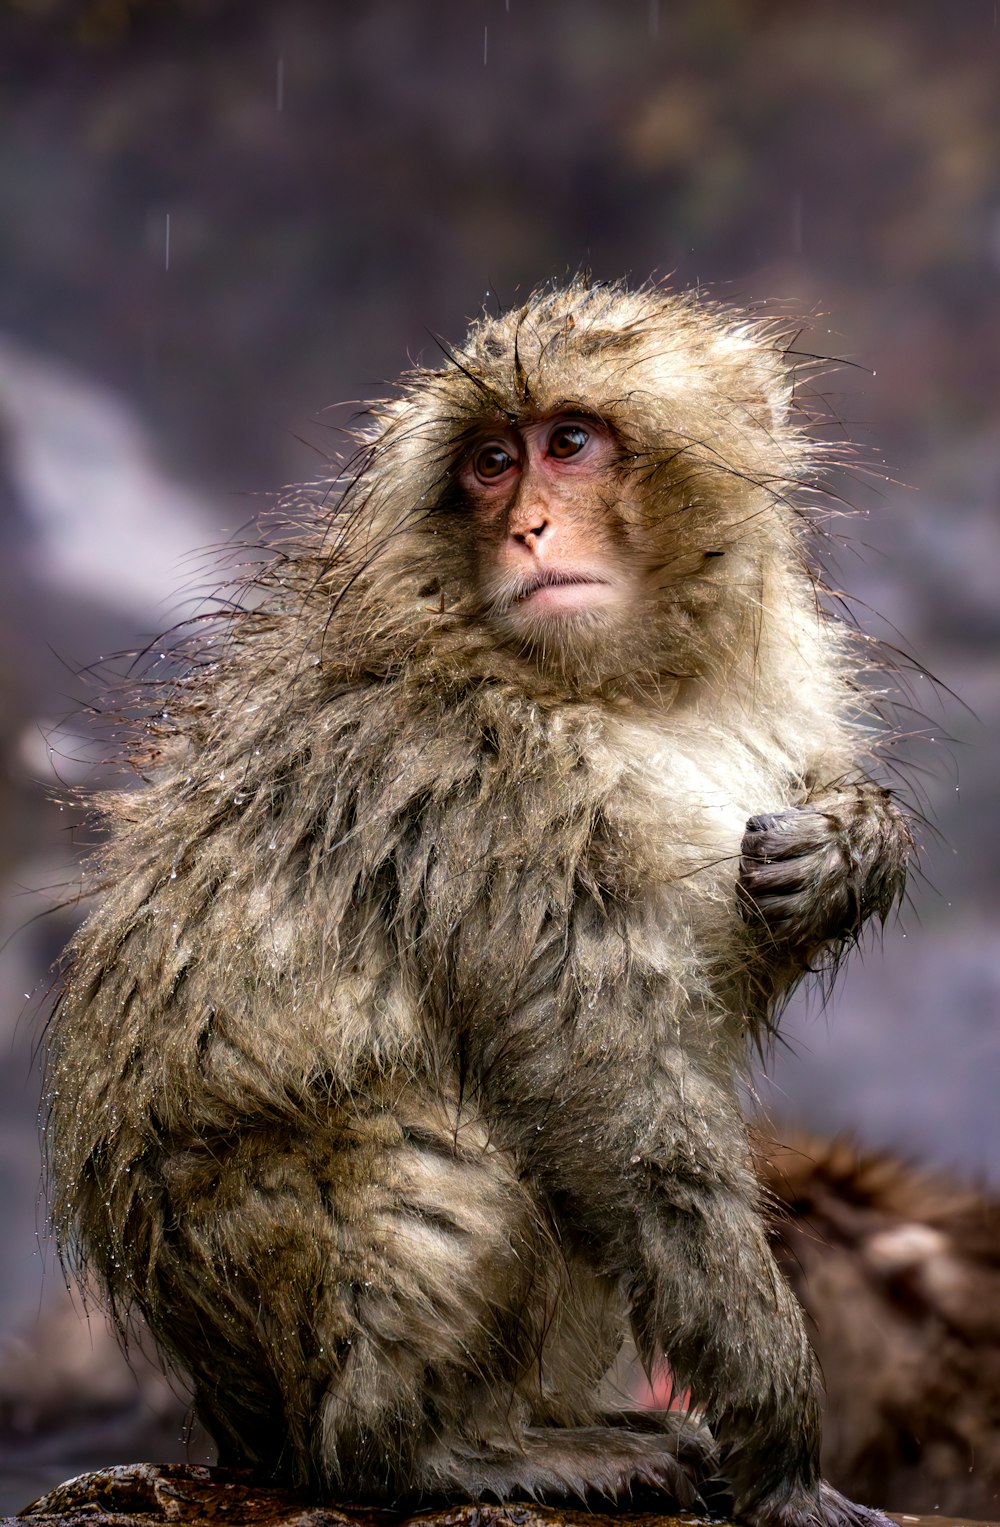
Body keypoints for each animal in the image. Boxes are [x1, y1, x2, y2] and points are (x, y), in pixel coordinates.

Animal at [46, 280, 916, 1520]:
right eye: (491, 465)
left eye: (569, 444)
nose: (529, 529)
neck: (632, 685)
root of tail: (235, 1421)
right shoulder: (499, 789)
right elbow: (622, 1107)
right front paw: (785, 1456)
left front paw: (852, 844)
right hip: (253, 1276)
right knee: (444, 1181)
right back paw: (442, 1453)